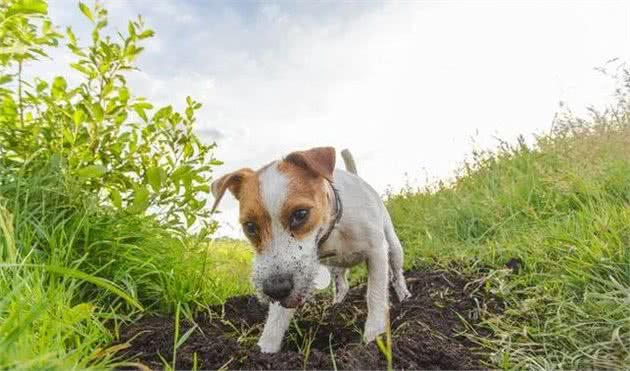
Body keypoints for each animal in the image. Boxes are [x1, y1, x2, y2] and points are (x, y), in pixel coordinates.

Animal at [210, 147, 412, 354]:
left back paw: (404, 296)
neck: (333, 228)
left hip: (393, 247)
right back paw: (337, 305)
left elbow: (375, 295)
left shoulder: (376, 252)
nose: (275, 289)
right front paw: (265, 349)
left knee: (396, 273)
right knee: (342, 285)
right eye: (250, 227)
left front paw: (375, 336)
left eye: (300, 214)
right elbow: (276, 318)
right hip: (334, 267)